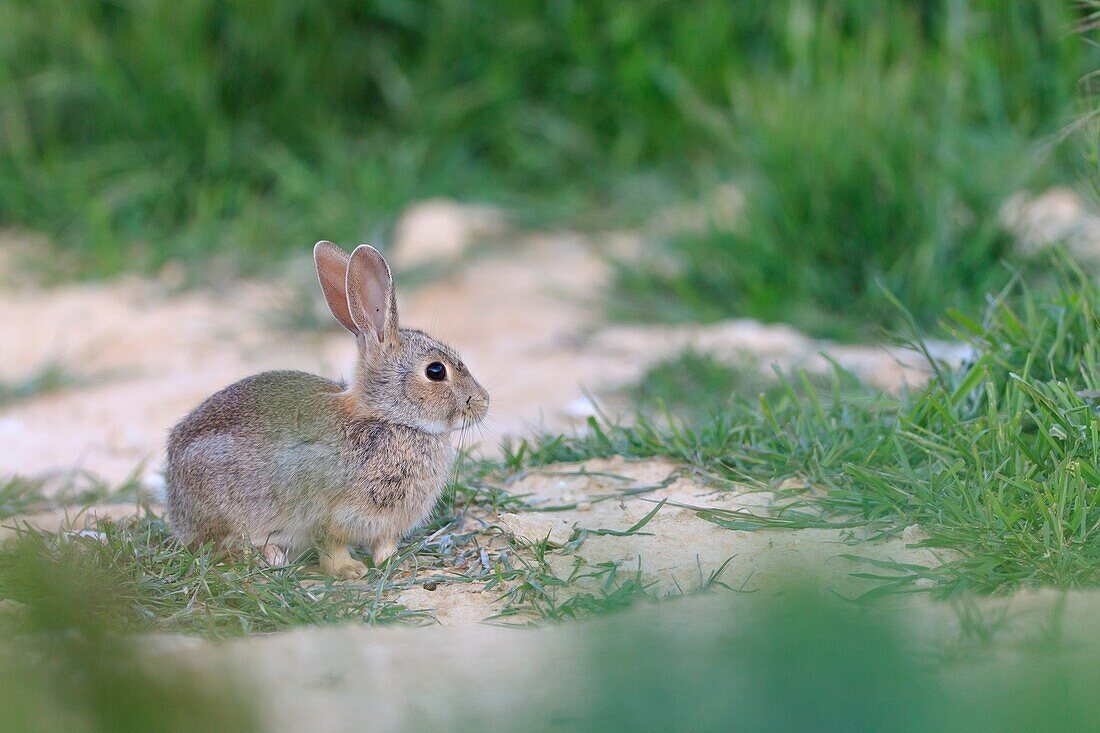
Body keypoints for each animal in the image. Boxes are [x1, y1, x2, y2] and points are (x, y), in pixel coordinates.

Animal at [163, 239, 490, 576]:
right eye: (435, 371)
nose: (483, 401)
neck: (388, 419)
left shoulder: (386, 526)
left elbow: (384, 546)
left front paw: (399, 564)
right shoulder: (324, 511)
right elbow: (331, 545)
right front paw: (349, 571)